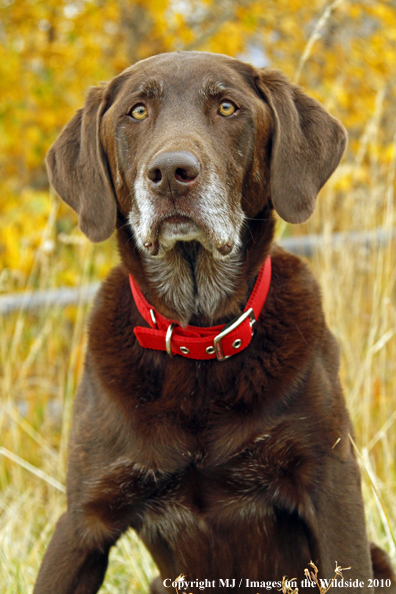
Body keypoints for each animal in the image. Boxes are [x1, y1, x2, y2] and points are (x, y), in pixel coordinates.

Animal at [34, 51, 396, 592]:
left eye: (227, 106)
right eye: (137, 111)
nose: (170, 172)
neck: (198, 335)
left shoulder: (332, 487)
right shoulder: (82, 520)